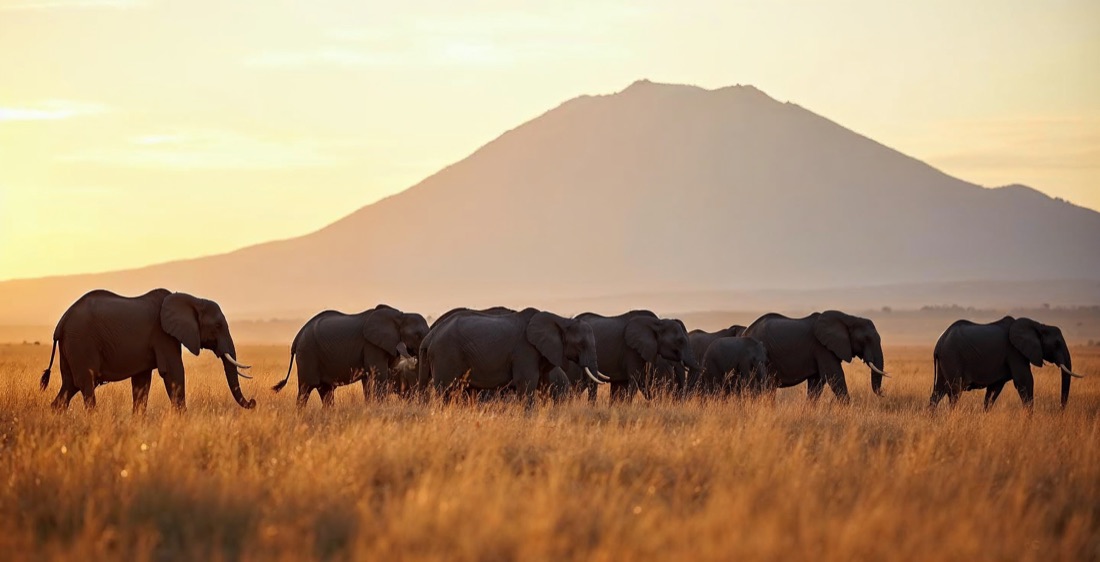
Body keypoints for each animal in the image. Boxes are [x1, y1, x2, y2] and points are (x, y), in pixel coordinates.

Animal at [39, 289, 255, 412]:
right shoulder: (163, 335)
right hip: (81, 343)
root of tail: (61, 323)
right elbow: (174, 373)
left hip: (71, 346)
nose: (253, 402)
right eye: (218, 325)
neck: (193, 299)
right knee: (86, 384)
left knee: (69, 386)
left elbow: (142, 383)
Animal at [271, 304, 429, 408]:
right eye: (417, 335)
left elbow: (369, 379)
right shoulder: (371, 345)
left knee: (326, 391)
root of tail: (297, 337)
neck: (401, 315)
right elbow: (379, 374)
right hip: (307, 354)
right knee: (306, 389)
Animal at [418, 308, 606, 408]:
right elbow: (527, 383)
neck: (561, 320)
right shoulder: (525, 351)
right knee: (447, 390)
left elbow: (543, 384)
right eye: (582, 344)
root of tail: (429, 336)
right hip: (446, 355)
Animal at [742, 310, 889, 402]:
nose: (883, 393)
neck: (848, 318)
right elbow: (835, 376)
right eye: (866, 339)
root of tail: (744, 333)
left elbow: (817, 382)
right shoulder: (822, 348)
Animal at [930, 316, 1082, 410]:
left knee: (939, 391)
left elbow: (994, 390)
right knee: (954, 391)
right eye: (1056, 344)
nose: (1061, 411)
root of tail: (938, 344)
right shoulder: (1014, 352)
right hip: (952, 357)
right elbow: (1024, 381)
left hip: (946, 361)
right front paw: (1029, 422)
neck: (1038, 325)